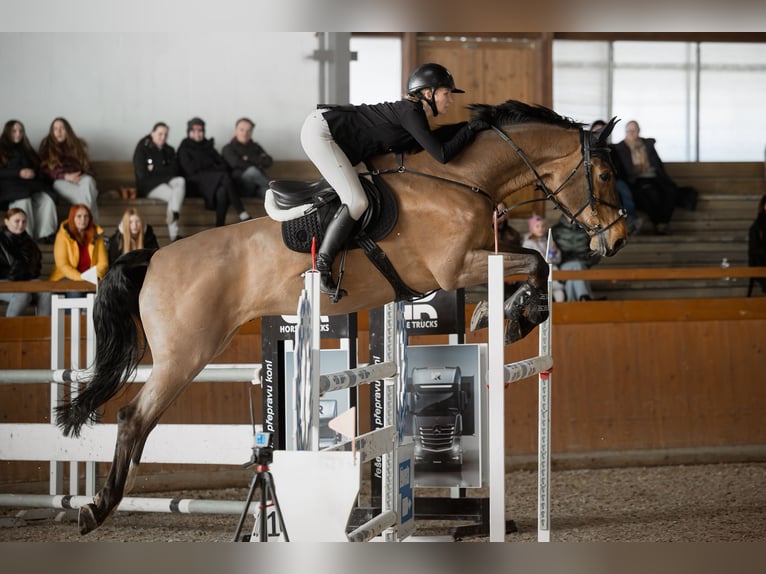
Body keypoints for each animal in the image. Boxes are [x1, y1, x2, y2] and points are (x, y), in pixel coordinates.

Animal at [55, 100, 627, 534]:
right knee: (134, 419)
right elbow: (534, 262)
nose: (618, 240)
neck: (459, 178)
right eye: (603, 173)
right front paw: (510, 313)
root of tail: (154, 258)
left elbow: (531, 264)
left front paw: (506, 311)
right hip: (186, 354)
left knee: (138, 420)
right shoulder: (455, 267)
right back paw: (97, 509)